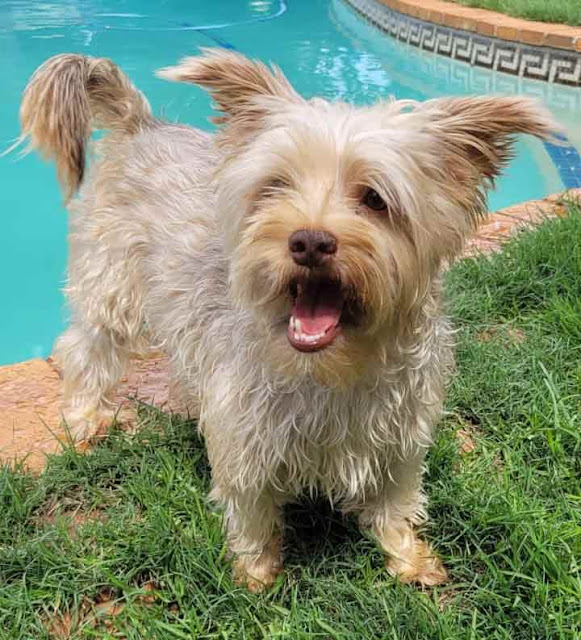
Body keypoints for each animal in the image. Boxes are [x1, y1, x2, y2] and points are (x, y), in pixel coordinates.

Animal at [15, 48, 556, 592]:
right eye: (275, 186)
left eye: (375, 198)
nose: (309, 241)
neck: (333, 371)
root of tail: (141, 124)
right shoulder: (245, 439)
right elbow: (251, 511)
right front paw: (255, 575)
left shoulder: (402, 435)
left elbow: (395, 503)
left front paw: (407, 557)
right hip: (112, 287)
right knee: (86, 349)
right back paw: (87, 416)